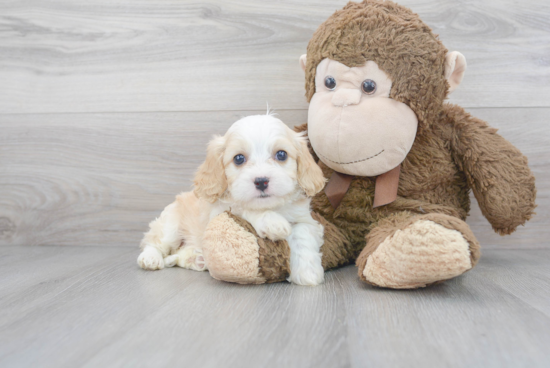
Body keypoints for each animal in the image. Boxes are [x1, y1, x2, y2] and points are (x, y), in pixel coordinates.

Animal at [138, 113, 328, 286]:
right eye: (239, 158)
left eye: (281, 155)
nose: (261, 181)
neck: (271, 206)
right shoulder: (219, 211)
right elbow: (242, 207)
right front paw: (272, 222)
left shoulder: (306, 220)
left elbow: (302, 234)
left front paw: (307, 272)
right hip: (170, 225)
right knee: (154, 242)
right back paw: (150, 258)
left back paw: (197, 259)